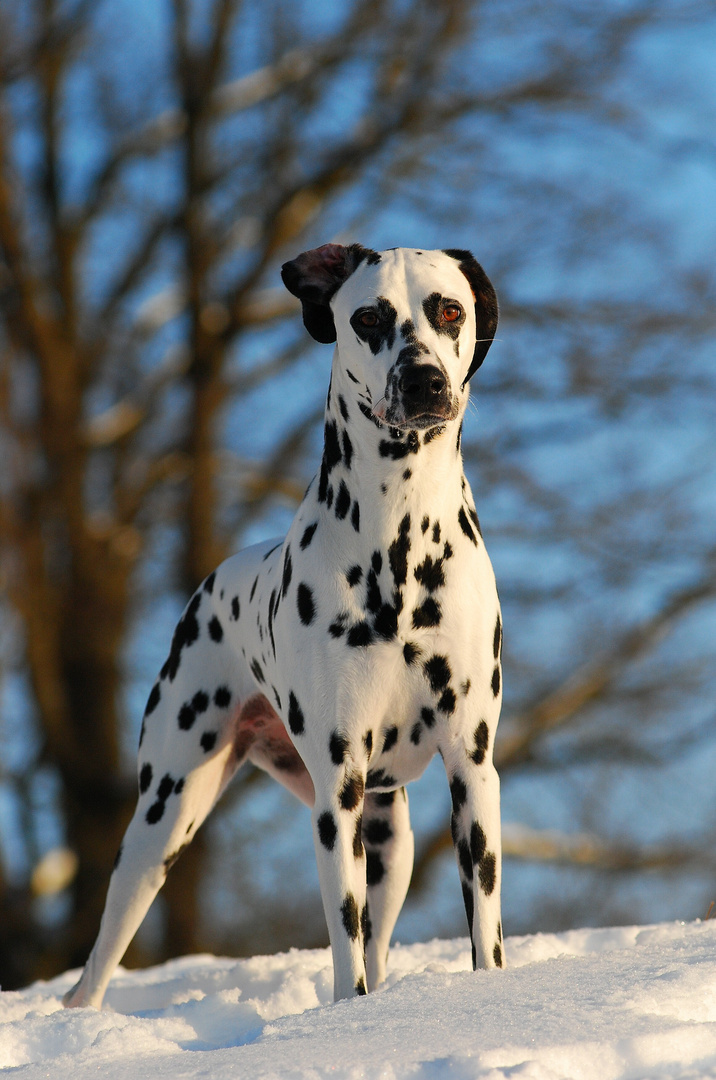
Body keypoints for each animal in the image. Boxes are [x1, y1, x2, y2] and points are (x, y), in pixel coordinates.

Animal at [65, 243, 503, 1002]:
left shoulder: (471, 768)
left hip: (391, 840)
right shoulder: (338, 790)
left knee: (379, 939)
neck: (400, 538)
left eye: (450, 309)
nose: (423, 380)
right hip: (163, 819)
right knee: (98, 962)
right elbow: (344, 947)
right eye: (368, 318)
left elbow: (486, 936)